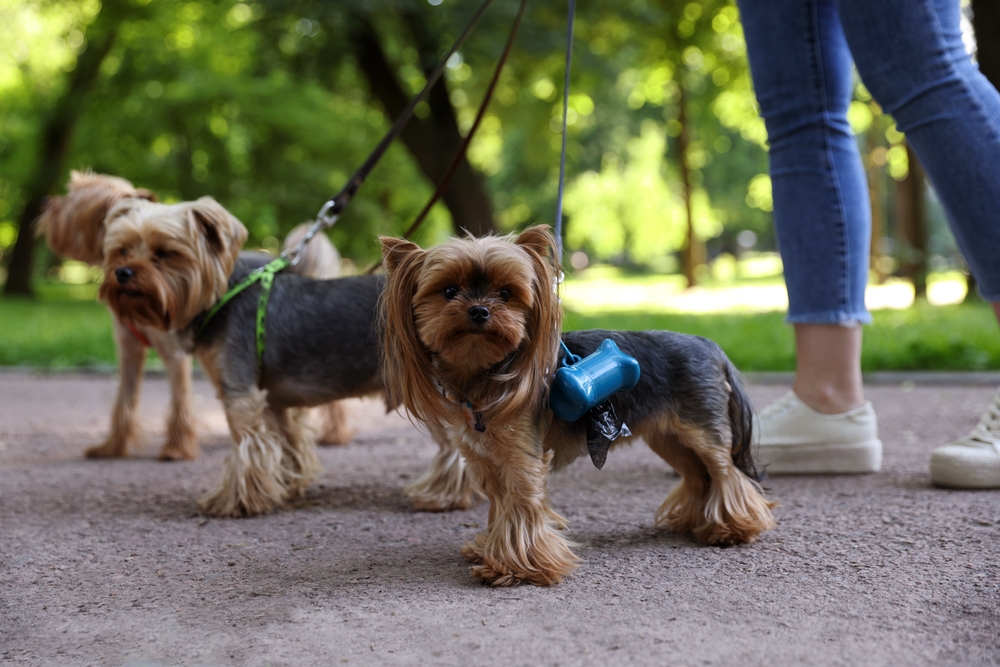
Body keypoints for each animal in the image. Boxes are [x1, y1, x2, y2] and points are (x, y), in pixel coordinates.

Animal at [37, 174, 350, 460]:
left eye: (71, 198)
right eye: (122, 249)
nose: (48, 202)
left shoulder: (176, 352)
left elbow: (180, 401)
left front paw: (176, 448)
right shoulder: (129, 351)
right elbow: (124, 399)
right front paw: (112, 447)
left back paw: (333, 433)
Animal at [378, 227, 776, 588]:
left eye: (506, 293)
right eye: (448, 291)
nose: (479, 310)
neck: (483, 375)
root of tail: (710, 345)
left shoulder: (523, 458)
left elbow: (521, 505)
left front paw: (514, 568)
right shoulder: (485, 459)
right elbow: (499, 504)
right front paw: (488, 547)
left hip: (702, 430)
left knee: (725, 472)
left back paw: (733, 528)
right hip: (668, 437)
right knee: (698, 475)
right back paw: (696, 522)